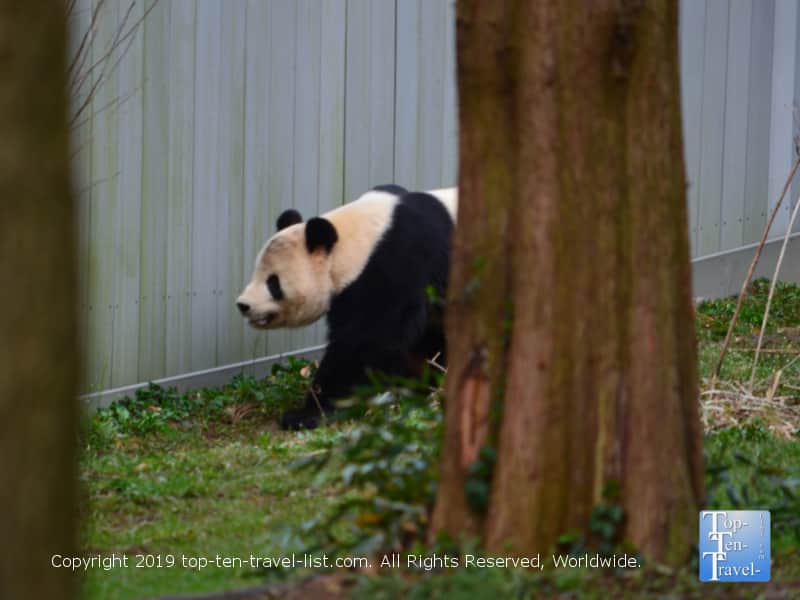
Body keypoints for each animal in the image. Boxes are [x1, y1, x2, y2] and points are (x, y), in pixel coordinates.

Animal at [236, 184, 458, 429]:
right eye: (256, 272)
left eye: (273, 283)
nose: (243, 305)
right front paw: (415, 385)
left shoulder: (397, 265)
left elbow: (364, 342)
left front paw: (307, 414)